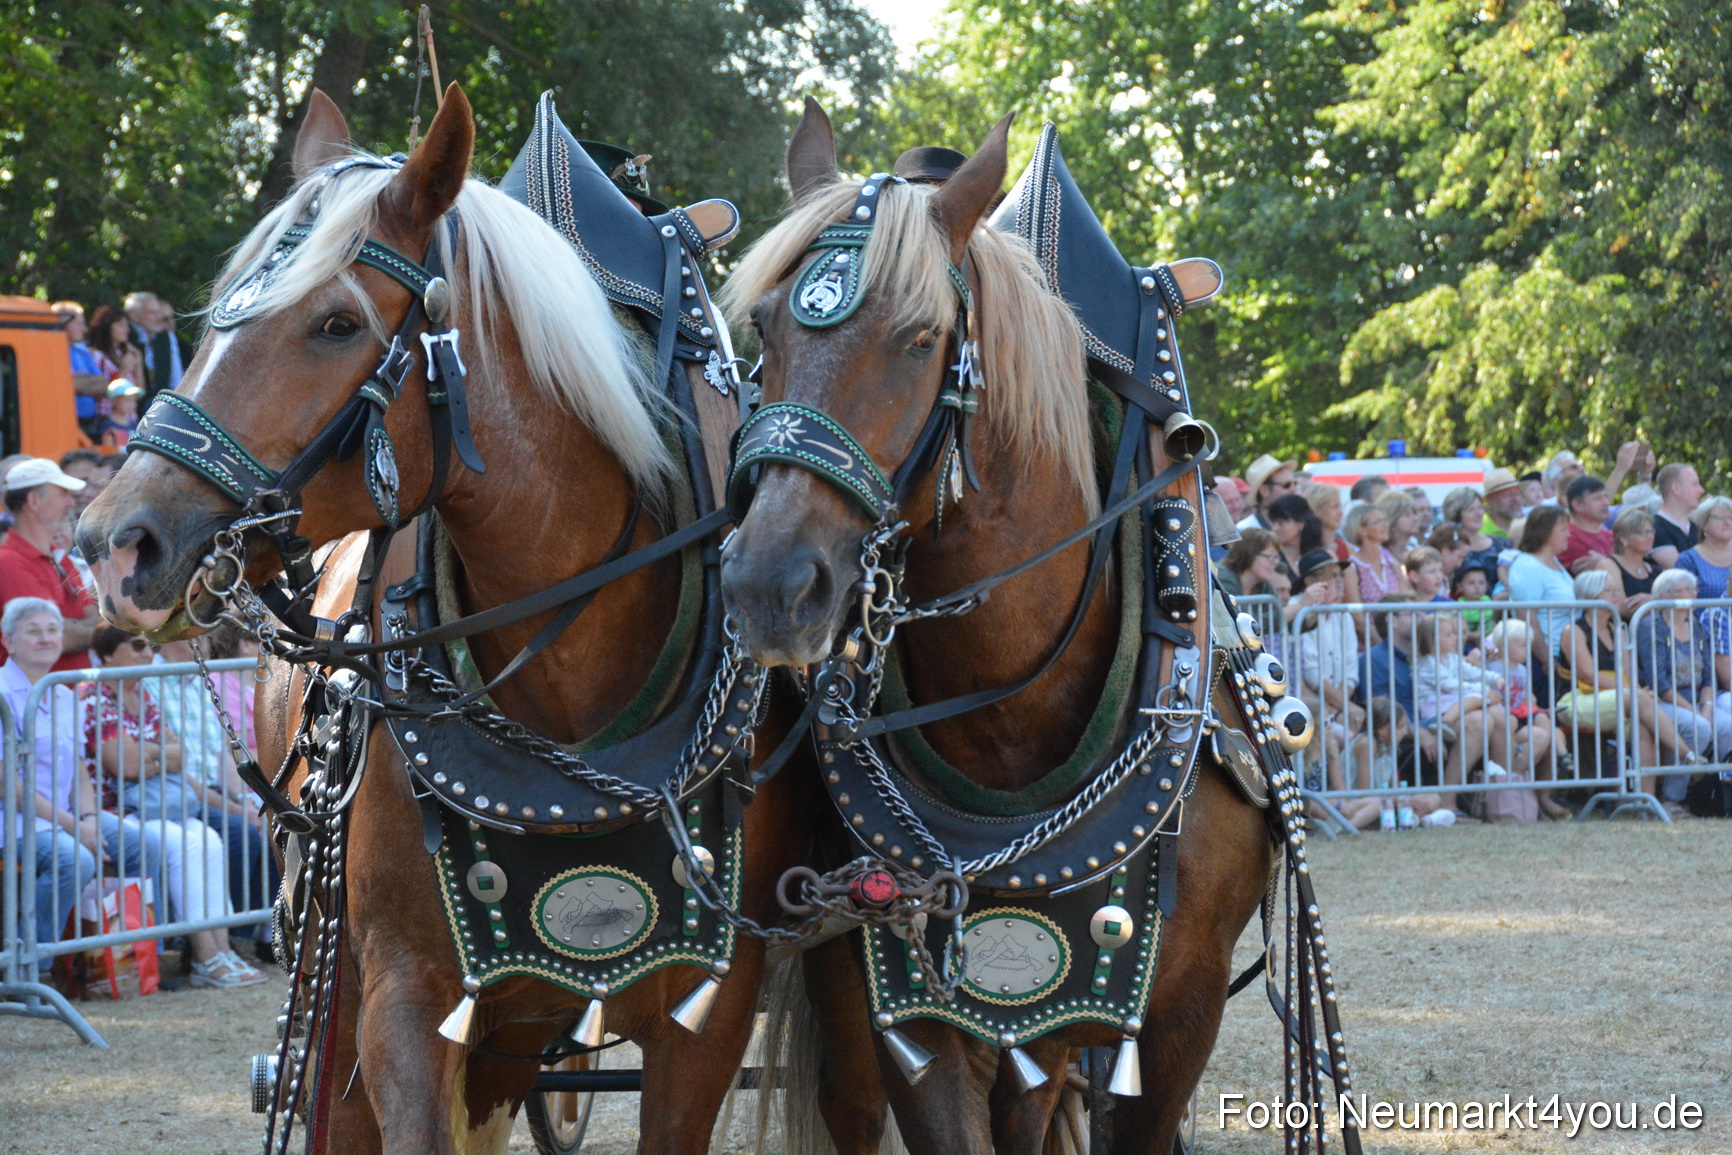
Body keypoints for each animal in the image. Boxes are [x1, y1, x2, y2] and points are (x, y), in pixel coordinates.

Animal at [715, 103, 1327, 1155]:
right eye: (766, 324)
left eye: (920, 337)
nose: (767, 584)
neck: (1012, 736)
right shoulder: (914, 1011)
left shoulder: (1175, 1017)